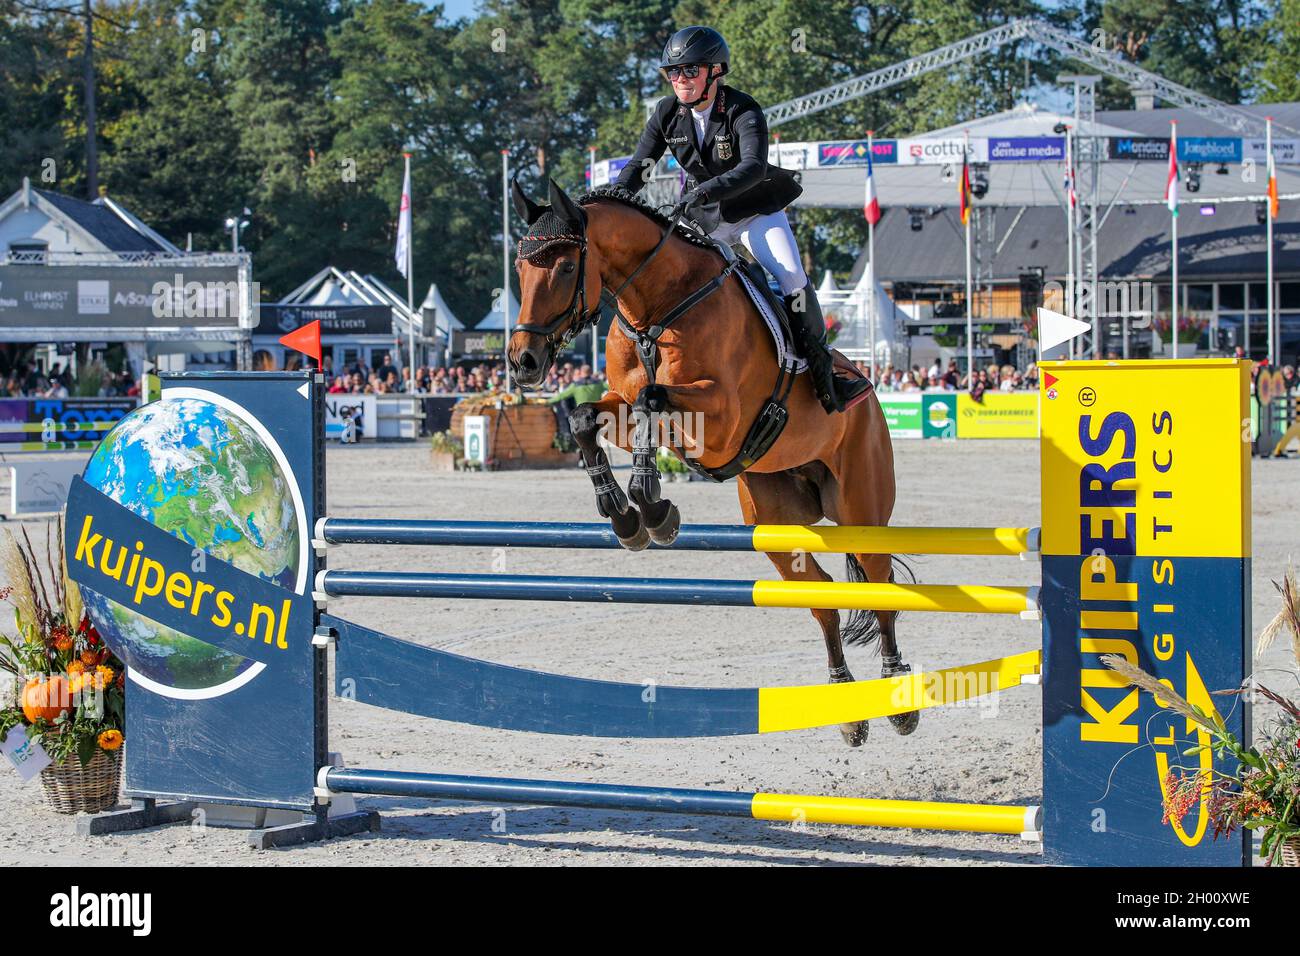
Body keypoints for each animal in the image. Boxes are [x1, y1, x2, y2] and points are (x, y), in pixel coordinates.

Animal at [504, 180, 915, 749]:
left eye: (565, 267)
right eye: (519, 268)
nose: (523, 361)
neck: (656, 310)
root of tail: (870, 394)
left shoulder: (721, 421)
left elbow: (653, 400)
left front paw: (651, 505)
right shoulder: (622, 402)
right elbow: (589, 416)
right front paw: (627, 516)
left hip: (861, 506)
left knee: (880, 585)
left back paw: (899, 700)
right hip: (775, 523)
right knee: (822, 596)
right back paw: (848, 710)